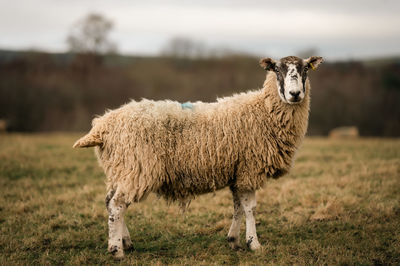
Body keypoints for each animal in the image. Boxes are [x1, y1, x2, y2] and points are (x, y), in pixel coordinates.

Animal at [73, 55, 324, 258]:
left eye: (305, 69)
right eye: (277, 70)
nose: (295, 94)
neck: (263, 110)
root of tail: (103, 125)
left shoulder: (237, 171)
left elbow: (238, 207)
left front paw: (234, 241)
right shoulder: (250, 169)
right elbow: (250, 208)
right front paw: (254, 244)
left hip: (120, 169)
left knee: (110, 202)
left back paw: (126, 242)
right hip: (137, 167)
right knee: (117, 205)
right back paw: (116, 250)